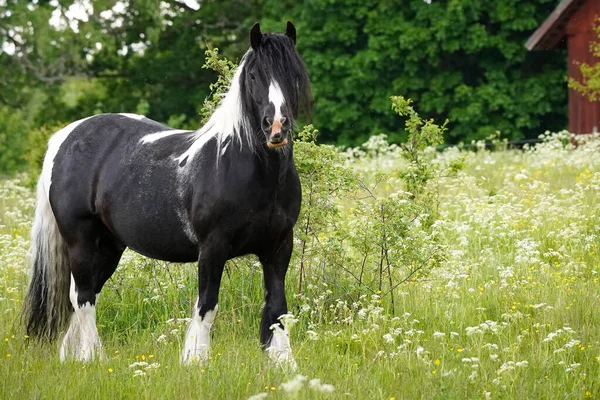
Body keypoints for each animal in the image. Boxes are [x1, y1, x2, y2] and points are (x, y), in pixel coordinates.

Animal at [22, 20, 314, 368]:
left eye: (293, 73)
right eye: (255, 75)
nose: (277, 127)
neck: (241, 165)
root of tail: (66, 137)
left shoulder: (278, 247)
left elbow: (277, 308)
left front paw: (285, 365)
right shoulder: (213, 248)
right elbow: (207, 306)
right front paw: (196, 361)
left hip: (109, 246)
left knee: (82, 293)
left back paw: (73, 357)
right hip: (80, 239)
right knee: (83, 297)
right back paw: (94, 357)